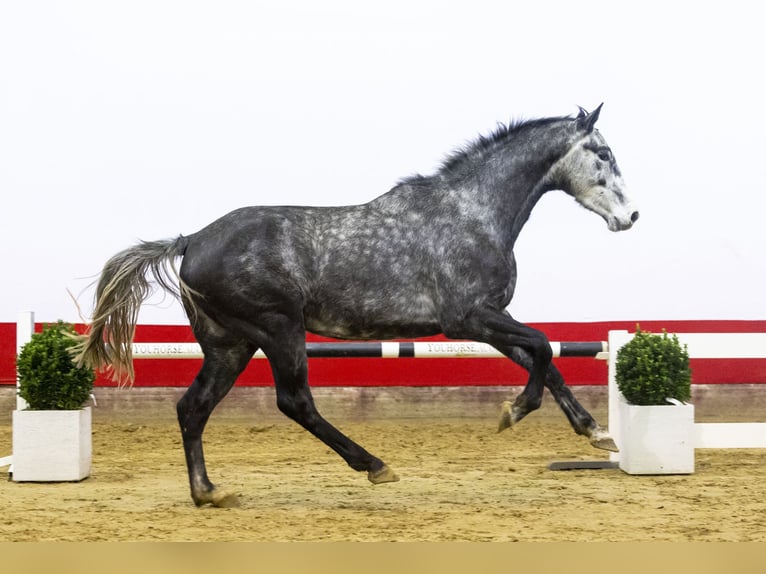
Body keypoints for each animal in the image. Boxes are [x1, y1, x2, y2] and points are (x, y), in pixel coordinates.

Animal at [78, 107, 640, 508]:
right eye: (603, 152)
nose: (631, 216)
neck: (472, 213)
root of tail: (191, 241)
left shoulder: (487, 322)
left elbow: (546, 361)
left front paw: (597, 435)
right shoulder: (471, 317)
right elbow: (543, 347)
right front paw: (513, 413)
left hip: (230, 346)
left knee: (192, 407)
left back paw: (209, 493)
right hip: (278, 330)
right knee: (295, 402)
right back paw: (374, 466)